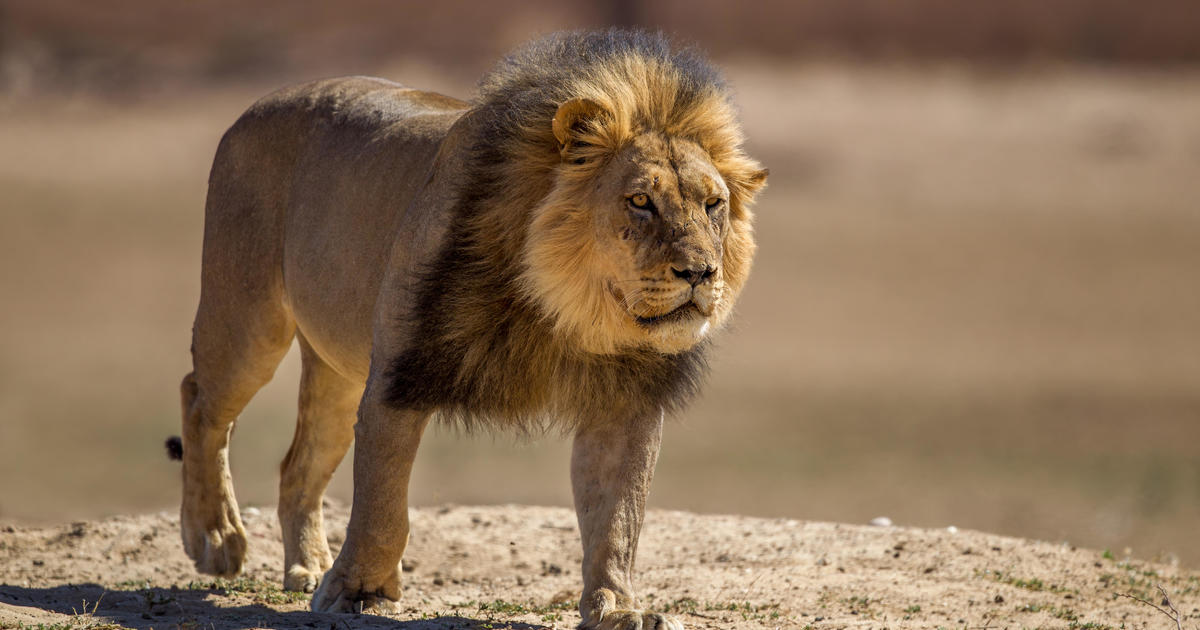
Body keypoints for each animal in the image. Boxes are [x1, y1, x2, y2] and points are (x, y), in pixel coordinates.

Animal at [178, 30, 768, 628]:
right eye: (641, 201)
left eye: (713, 204)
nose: (700, 273)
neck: (563, 310)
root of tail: (260, 103)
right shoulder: (398, 376)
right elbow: (383, 503)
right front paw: (357, 589)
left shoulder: (625, 405)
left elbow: (618, 518)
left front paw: (617, 607)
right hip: (248, 319)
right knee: (201, 401)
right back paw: (215, 539)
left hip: (336, 371)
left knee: (298, 462)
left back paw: (306, 565)